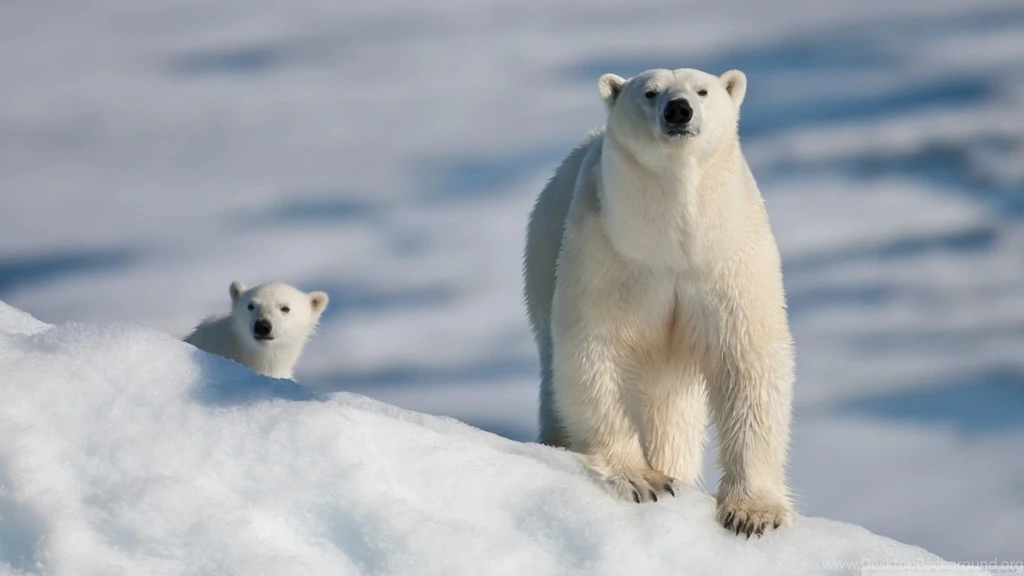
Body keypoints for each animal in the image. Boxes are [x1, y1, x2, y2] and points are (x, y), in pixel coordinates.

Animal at [523, 67, 794, 537]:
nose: (679, 110)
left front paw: (752, 513)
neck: (674, 242)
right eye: (650, 92)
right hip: (542, 259)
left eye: (702, 90)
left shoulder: (728, 258)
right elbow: (595, 351)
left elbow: (748, 361)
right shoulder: (610, 252)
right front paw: (642, 479)